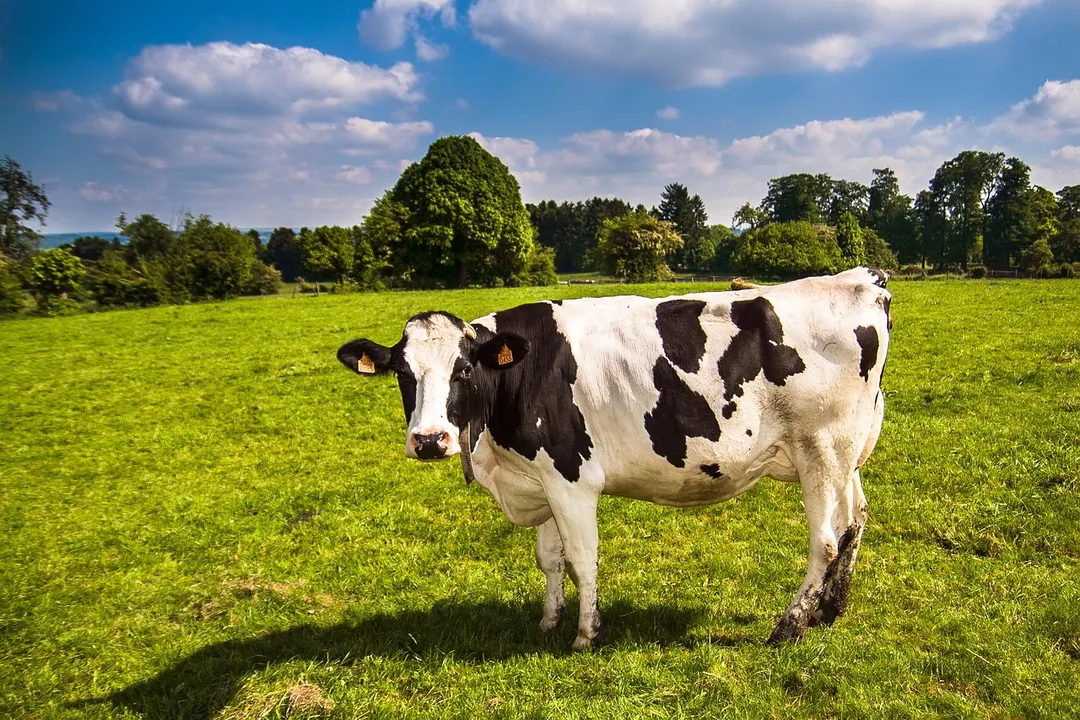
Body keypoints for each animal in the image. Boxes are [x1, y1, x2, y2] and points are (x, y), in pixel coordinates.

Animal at [336, 267, 894, 651]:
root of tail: (862, 279)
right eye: (403, 374)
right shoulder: (540, 478)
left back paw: (791, 624)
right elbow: (550, 559)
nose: (430, 440)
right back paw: (831, 609)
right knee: (855, 521)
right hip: (846, 453)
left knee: (825, 541)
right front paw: (549, 620)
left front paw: (586, 633)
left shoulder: (571, 478)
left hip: (821, 450)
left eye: (464, 370)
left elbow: (582, 559)